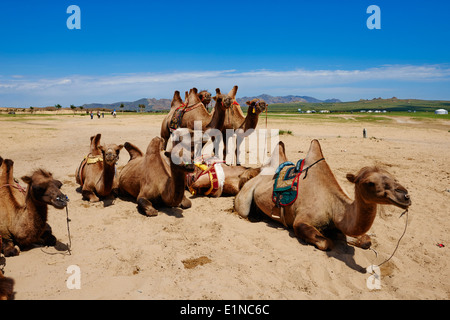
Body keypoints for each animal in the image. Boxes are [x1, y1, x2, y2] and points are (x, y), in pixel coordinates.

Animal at [234, 139, 414, 250]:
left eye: (394, 178)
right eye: (370, 183)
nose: (405, 196)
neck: (333, 206)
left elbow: (366, 241)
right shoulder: (301, 222)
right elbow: (326, 243)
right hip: (245, 198)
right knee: (243, 210)